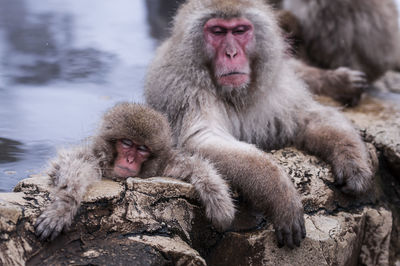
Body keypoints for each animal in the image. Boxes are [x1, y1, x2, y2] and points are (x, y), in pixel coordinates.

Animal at [34, 102, 236, 241]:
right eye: (127, 143)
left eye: (142, 149)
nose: (130, 160)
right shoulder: (95, 158)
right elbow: (71, 167)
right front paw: (63, 208)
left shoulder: (164, 165)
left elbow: (195, 166)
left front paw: (219, 201)